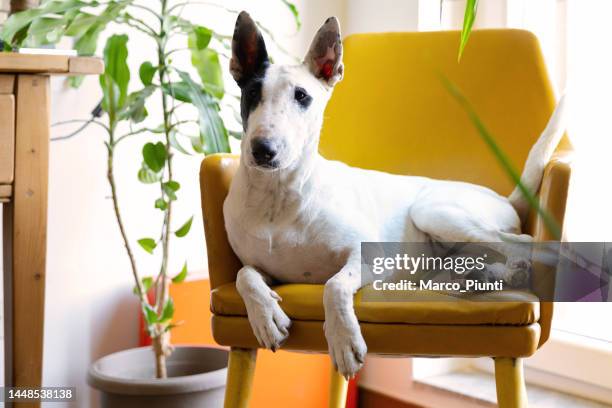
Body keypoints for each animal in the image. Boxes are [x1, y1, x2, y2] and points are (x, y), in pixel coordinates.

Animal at [222, 10, 568, 380]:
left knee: (525, 242)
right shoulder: (262, 266)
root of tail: (505, 197)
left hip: (434, 211)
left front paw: (343, 341)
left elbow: (333, 285)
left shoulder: (371, 257)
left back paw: (507, 270)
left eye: (302, 96)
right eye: (252, 92)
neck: (278, 197)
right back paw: (479, 277)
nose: (263, 150)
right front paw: (265, 317)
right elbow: (244, 275)